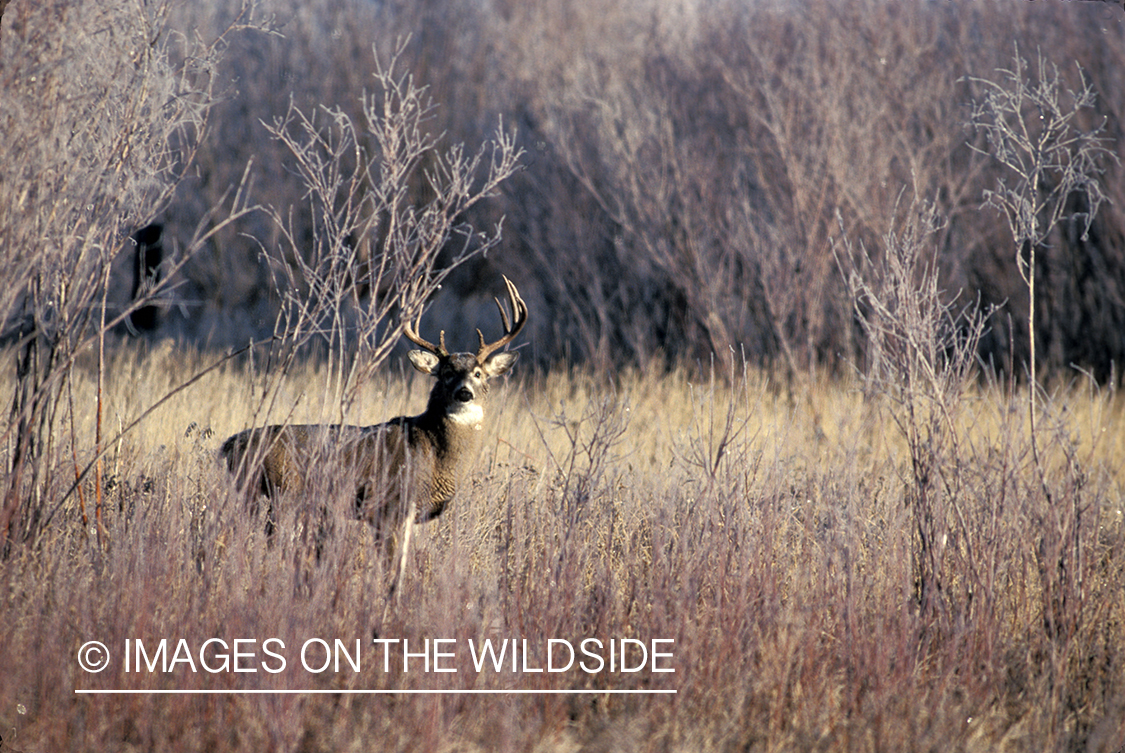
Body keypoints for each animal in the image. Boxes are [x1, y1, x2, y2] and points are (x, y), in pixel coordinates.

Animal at [223, 273, 531, 542]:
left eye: (478, 373)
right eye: (446, 372)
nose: (464, 393)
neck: (434, 452)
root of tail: (230, 445)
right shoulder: (390, 506)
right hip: (285, 493)